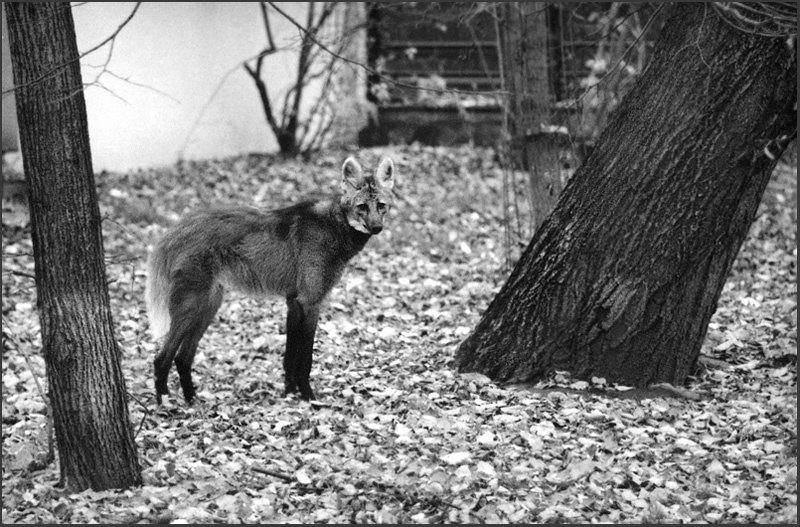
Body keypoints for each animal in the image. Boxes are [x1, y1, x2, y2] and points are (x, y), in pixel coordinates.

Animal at [145, 156, 395, 403]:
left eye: (381, 206)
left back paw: (192, 400)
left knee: (183, 357)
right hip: (192, 304)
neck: (336, 226)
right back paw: (166, 403)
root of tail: (174, 229)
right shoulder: (310, 302)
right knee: (162, 358)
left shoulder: (293, 301)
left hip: (208, 304)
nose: (377, 227)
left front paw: (290, 393)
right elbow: (305, 358)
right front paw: (309, 397)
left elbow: (290, 356)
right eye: (362, 207)